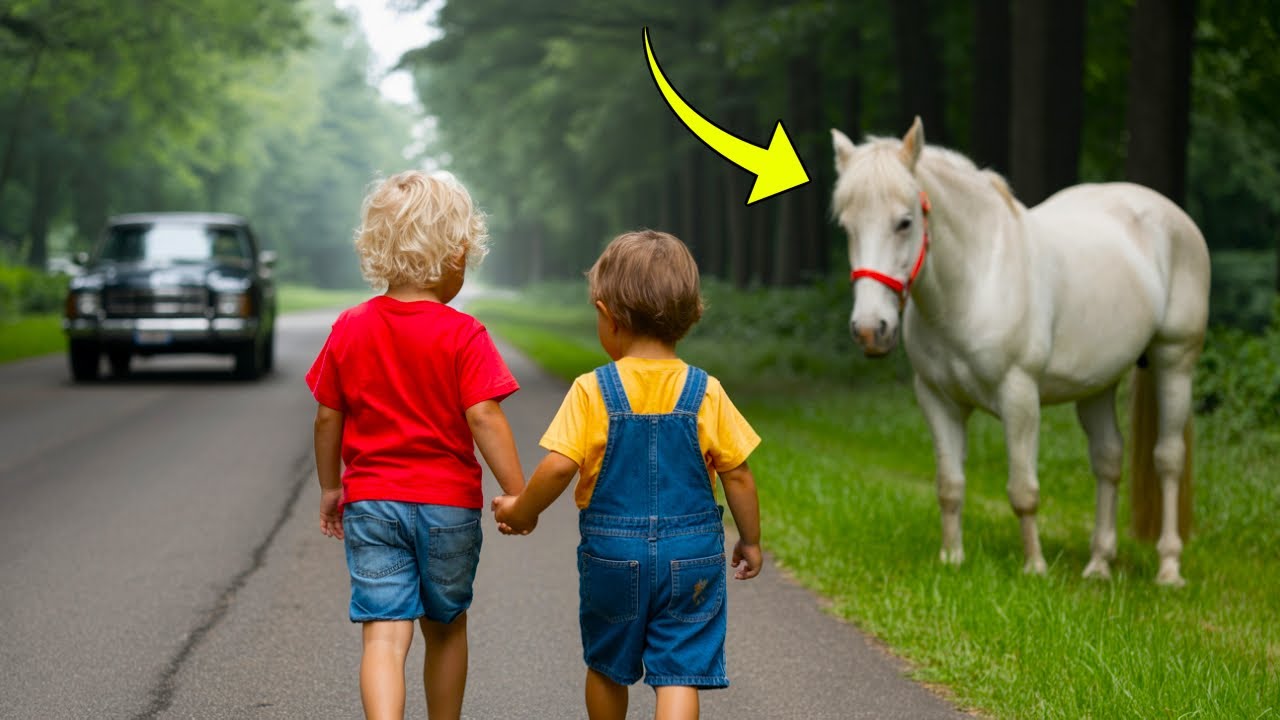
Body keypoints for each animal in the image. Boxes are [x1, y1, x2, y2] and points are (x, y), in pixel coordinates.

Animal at [829, 118, 1210, 586]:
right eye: (846, 226)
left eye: (904, 222)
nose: (870, 330)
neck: (975, 282)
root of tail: (1174, 217)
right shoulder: (937, 400)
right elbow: (949, 485)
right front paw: (952, 558)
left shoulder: (1020, 396)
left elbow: (1023, 490)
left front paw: (1034, 567)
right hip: (1097, 384)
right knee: (1108, 459)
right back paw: (1099, 564)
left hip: (1175, 363)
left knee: (1168, 459)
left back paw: (1169, 569)